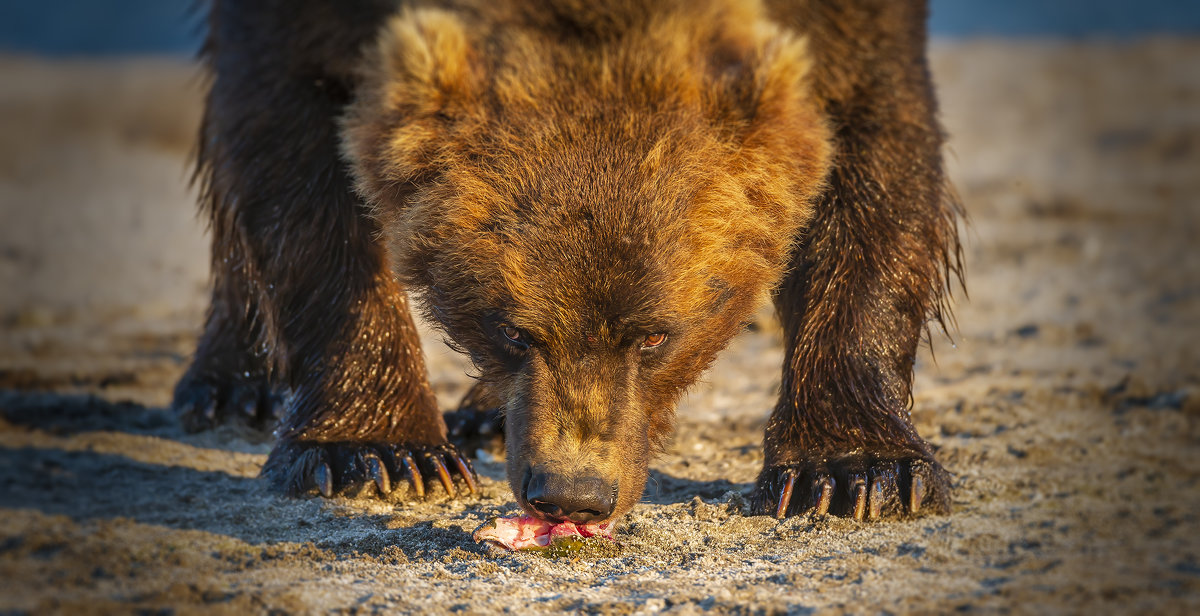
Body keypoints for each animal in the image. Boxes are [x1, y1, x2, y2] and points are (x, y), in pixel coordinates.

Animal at [175, 0, 964, 523]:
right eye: (510, 328)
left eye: (655, 334)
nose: (572, 495)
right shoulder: (289, 24)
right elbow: (287, 153)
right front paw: (379, 454)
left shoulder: (857, 29)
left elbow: (877, 148)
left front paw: (856, 471)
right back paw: (229, 387)